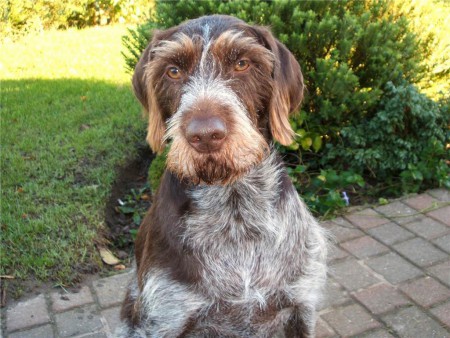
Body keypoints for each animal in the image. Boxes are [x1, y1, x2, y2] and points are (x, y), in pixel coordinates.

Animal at [118, 13, 326, 338]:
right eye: (173, 71)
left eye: (241, 63)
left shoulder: (300, 307)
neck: (234, 210)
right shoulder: (163, 319)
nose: (205, 135)